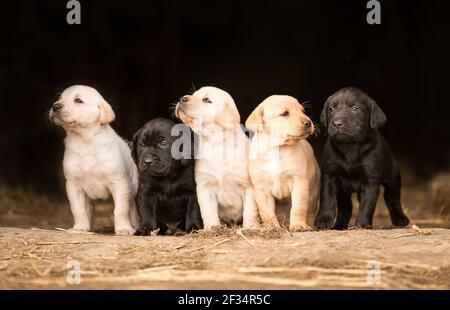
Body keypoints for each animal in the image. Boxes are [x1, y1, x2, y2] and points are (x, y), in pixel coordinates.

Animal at [48, 85, 138, 235]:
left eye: (78, 100)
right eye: (60, 98)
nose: (55, 106)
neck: (85, 140)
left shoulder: (119, 183)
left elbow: (120, 210)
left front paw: (124, 229)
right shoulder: (73, 185)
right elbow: (78, 209)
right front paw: (79, 228)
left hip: (132, 188)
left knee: (132, 208)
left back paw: (136, 226)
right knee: (88, 209)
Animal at [176, 86, 260, 229]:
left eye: (206, 100)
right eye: (194, 94)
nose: (182, 98)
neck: (215, 143)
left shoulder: (249, 186)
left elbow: (250, 210)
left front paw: (250, 227)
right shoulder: (204, 186)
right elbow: (208, 211)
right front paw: (212, 228)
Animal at [246, 95, 320, 231]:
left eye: (302, 111)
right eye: (285, 113)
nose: (308, 122)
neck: (277, 148)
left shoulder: (299, 182)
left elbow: (298, 207)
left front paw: (298, 225)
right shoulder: (261, 189)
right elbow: (266, 212)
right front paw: (271, 227)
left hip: (313, 194)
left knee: (310, 212)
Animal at [314, 87, 410, 230]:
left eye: (355, 108)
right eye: (331, 109)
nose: (337, 123)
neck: (350, 146)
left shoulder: (370, 181)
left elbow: (367, 205)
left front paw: (363, 224)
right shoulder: (330, 176)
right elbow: (327, 199)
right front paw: (323, 220)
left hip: (393, 177)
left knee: (392, 198)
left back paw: (400, 219)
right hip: (343, 191)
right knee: (346, 206)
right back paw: (339, 226)